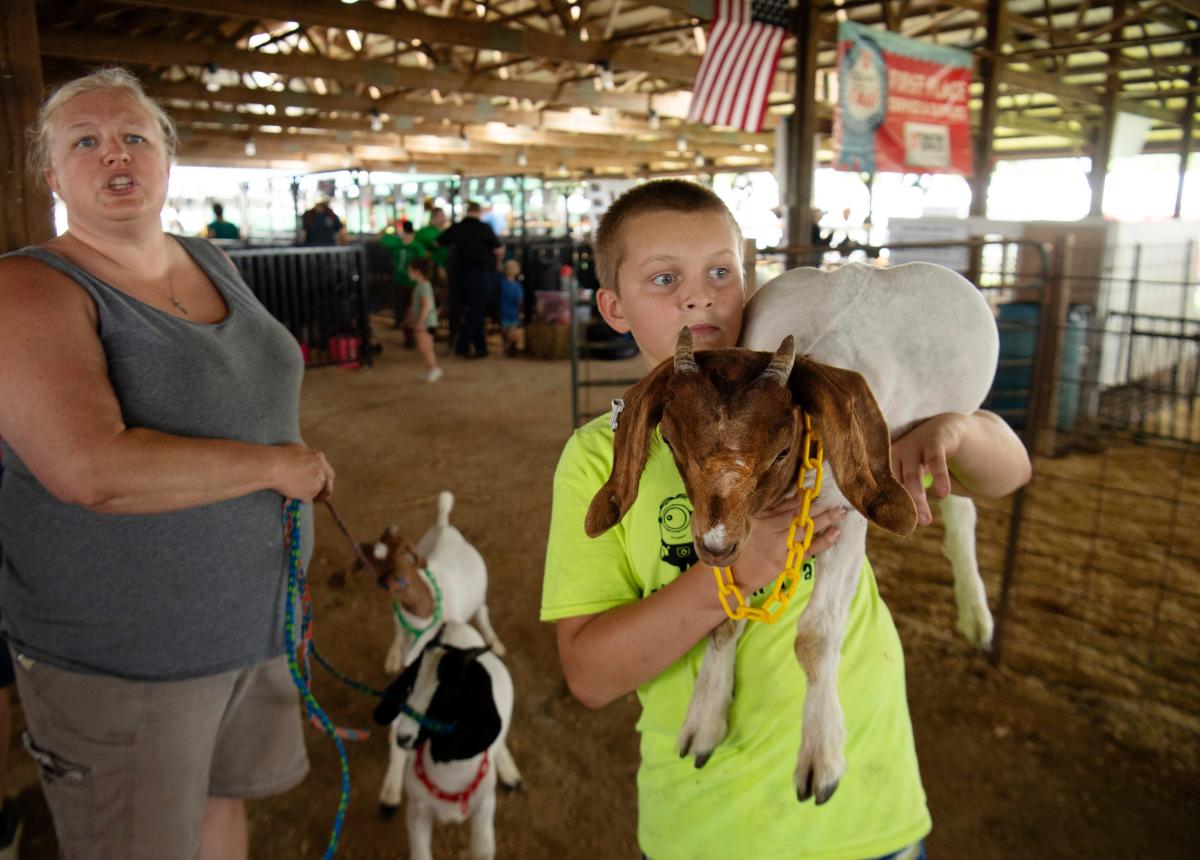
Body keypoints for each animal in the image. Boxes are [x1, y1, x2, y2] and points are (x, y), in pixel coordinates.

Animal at [369, 618, 520, 858]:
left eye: (444, 698)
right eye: (410, 685)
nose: (405, 737)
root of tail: (454, 624)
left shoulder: (485, 806)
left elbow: (482, 850)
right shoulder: (417, 809)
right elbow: (420, 853)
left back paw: (509, 771)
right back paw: (390, 794)